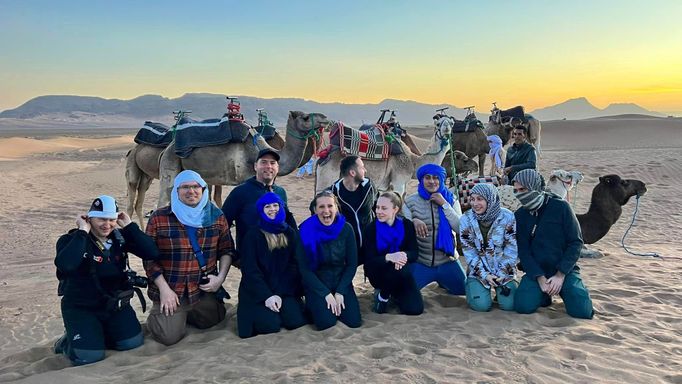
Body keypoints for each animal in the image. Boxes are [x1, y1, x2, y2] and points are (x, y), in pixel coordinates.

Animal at [314, 117, 468, 195]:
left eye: (452, 123)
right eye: (438, 124)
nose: (446, 129)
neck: (413, 161)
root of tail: (324, 155)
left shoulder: (386, 186)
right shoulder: (399, 180)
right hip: (327, 178)